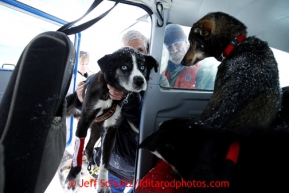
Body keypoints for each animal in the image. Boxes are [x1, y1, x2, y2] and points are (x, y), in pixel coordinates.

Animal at [64, 47, 158, 193]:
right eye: (124, 67)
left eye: (142, 67)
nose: (140, 80)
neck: (111, 95)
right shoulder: (84, 122)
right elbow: (77, 153)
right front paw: (73, 177)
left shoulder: (111, 130)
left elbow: (105, 161)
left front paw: (103, 184)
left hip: (97, 130)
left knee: (89, 147)